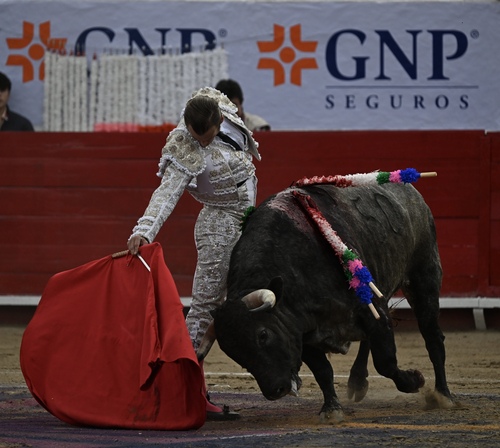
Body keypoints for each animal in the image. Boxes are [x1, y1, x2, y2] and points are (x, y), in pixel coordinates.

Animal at [197, 182, 455, 421]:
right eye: (235, 354)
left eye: (262, 334)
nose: (276, 390)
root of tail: (411, 191)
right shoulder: (302, 332)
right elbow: (323, 371)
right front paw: (332, 409)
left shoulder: (371, 307)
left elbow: (386, 361)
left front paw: (414, 380)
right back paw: (357, 382)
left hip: (424, 276)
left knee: (433, 338)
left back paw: (443, 395)